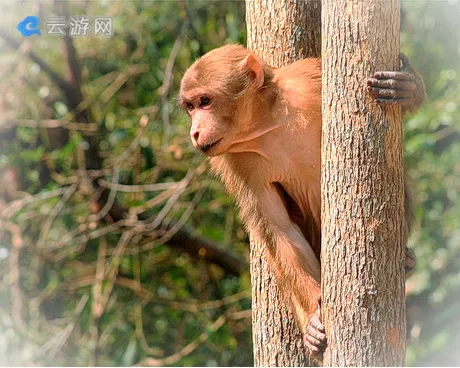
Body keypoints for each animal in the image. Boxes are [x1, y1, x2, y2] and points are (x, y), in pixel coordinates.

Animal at [179, 43, 424, 356]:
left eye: (205, 101)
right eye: (190, 106)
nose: (194, 132)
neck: (268, 123)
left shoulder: (307, 81)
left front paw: (409, 88)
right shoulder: (234, 160)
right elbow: (280, 230)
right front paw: (314, 321)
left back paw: (405, 260)